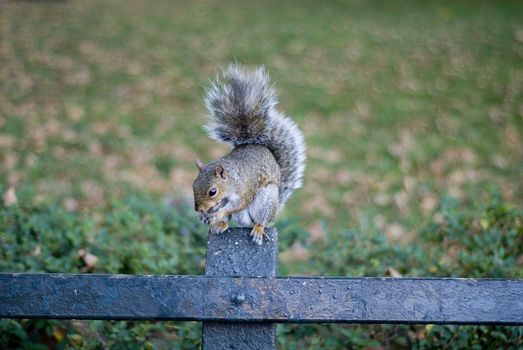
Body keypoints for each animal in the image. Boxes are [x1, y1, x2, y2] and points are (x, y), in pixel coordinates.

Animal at [192, 64, 308, 245]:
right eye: (193, 185)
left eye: (212, 191)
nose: (198, 208)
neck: (231, 180)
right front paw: (208, 216)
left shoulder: (245, 189)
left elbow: (238, 204)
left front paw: (216, 213)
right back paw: (221, 224)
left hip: (266, 200)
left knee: (260, 220)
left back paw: (258, 229)